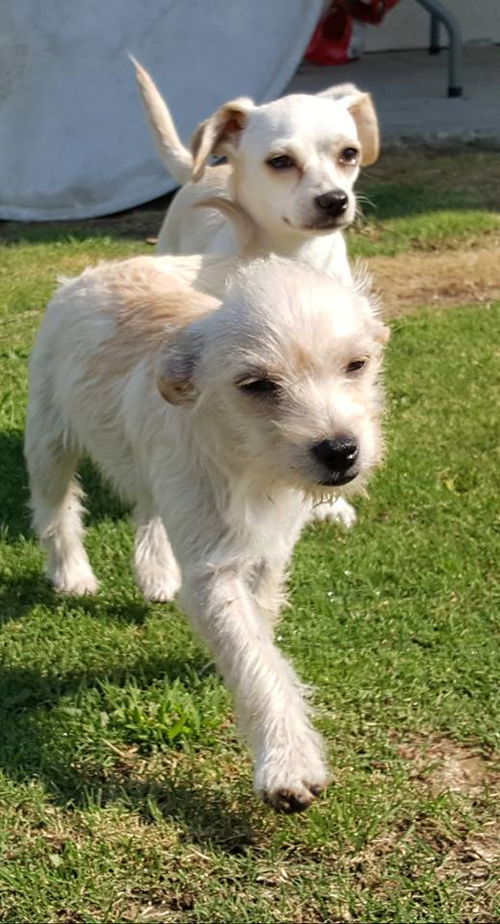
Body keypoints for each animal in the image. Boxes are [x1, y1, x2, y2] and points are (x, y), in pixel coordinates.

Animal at [25, 249, 388, 812]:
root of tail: (100, 269)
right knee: (55, 507)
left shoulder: (270, 551)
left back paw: (155, 572)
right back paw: (71, 572)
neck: (249, 462)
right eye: (257, 385)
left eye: (357, 365)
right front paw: (288, 762)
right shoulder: (214, 570)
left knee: (148, 505)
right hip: (48, 439)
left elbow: (258, 622)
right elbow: (252, 655)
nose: (341, 450)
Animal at [133, 61, 378, 532]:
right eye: (280, 162)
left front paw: (333, 505)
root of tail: (208, 169)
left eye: (349, 154)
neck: (289, 258)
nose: (334, 200)